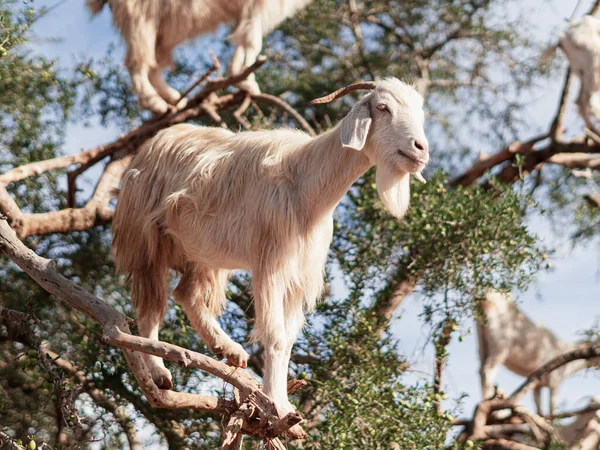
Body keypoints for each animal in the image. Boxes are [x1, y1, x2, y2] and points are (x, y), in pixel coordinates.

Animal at [89, 0, 316, 114]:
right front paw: (247, 81)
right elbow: (252, 40)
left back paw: (174, 99)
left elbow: (243, 35)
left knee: (155, 63)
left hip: (170, 24)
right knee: (136, 60)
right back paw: (153, 102)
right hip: (142, 15)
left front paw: (239, 76)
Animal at [112, 78, 428, 428]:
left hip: (203, 254)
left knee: (187, 294)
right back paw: (159, 373)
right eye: (383, 108)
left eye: (421, 113)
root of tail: (150, 146)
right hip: (146, 240)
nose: (420, 149)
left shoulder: (298, 275)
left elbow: (287, 340)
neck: (307, 184)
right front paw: (275, 403)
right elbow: (275, 336)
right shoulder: (271, 266)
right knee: (151, 308)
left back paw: (229, 350)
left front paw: (285, 404)